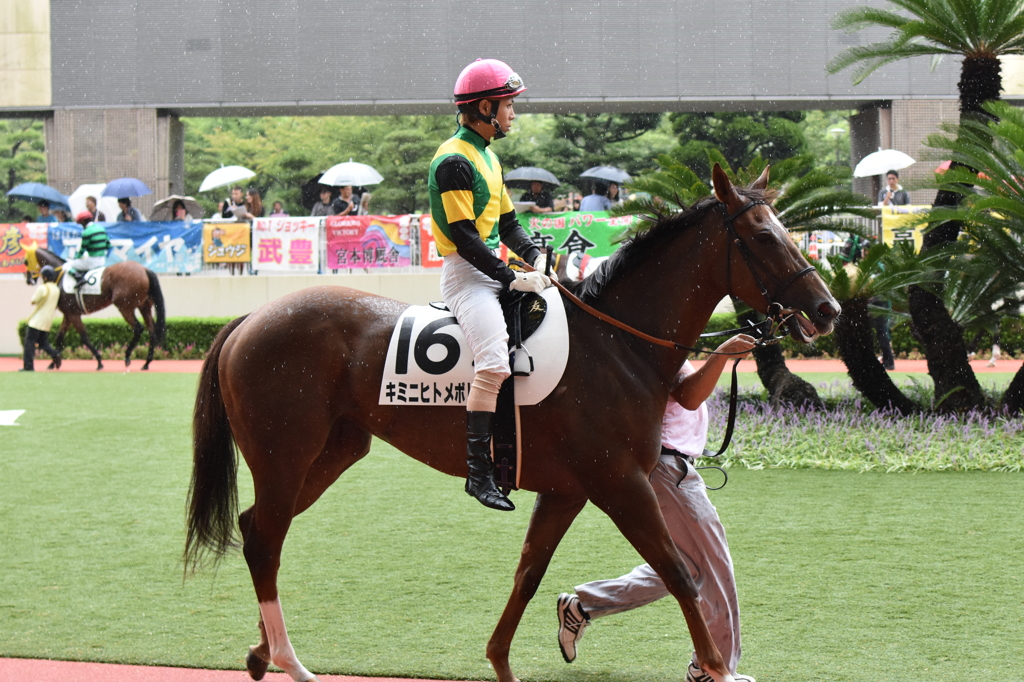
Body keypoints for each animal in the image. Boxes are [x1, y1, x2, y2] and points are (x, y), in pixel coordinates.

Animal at [21, 243, 167, 371]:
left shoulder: (73, 314)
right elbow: (59, 338)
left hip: (125, 307)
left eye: (26, 262)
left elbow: (84, 337)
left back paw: (127, 356)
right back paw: (146, 363)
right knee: (152, 332)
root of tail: (144, 269)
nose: (29, 280)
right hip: (144, 307)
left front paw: (99, 361)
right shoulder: (68, 314)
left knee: (138, 328)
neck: (59, 275)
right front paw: (53, 363)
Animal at [185, 165, 840, 682]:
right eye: (765, 235)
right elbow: (681, 574)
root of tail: (249, 319)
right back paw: (291, 662)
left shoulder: (568, 489)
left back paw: (261, 653)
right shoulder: (620, 484)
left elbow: (529, 571)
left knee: (258, 528)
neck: (614, 344)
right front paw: (718, 668)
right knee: (265, 539)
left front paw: (500, 661)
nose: (828, 308)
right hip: (285, 455)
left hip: (332, 454)